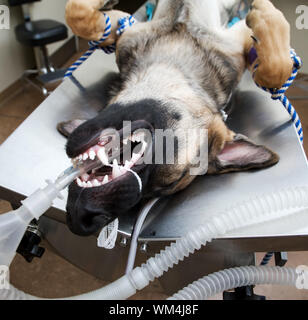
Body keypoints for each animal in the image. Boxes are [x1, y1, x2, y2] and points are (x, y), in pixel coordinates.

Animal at [61, 0, 292, 235]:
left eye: (168, 185)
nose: (83, 220)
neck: (170, 62)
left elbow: (276, 71)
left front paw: (265, 15)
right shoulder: (125, 29)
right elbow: (78, 15)